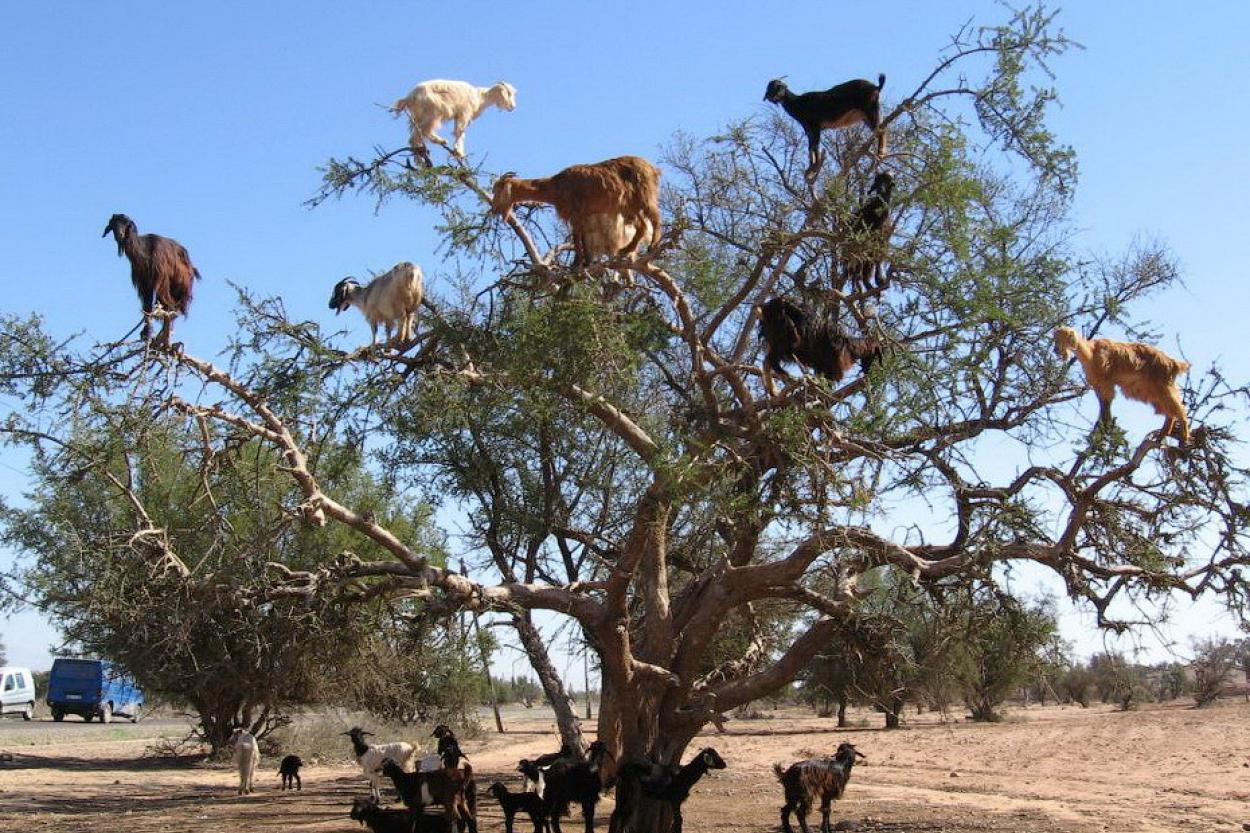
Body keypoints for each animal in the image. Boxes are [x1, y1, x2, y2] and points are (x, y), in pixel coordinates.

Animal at [101, 213, 200, 347]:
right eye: (113, 225)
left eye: (126, 224)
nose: (120, 235)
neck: (144, 251)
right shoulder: (144, 283)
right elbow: (147, 307)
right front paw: (146, 333)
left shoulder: (160, 279)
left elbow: (163, 304)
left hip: (181, 287)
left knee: (173, 308)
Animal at [487, 157, 665, 267]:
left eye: (497, 190)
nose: (493, 209)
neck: (554, 187)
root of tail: (653, 169)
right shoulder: (582, 216)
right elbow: (583, 238)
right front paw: (586, 262)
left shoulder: (575, 214)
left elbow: (577, 238)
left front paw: (576, 263)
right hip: (629, 206)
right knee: (642, 226)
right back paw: (625, 250)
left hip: (645, 196)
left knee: (655, 218)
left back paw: (652, 245)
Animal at [760, 74, 890, 178]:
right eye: (769, 88)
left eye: (779, 87)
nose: (772, 97)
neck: (798, 103)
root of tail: (876, 87)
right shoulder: (808, 129)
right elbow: (810, 147)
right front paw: (810, 169)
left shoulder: (816, 126)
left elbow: (815, 146)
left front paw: (815, 167)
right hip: (866, 116)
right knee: (880, 129)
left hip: (870, 110)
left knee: (881, 130)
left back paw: (880, 153)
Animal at [1055, 325, 1190, 445]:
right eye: (1054, 338)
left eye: (1064, 337)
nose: (1056, 350)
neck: (1091, 352)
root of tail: (1173, 363)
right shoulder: (1099, 386)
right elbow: (1104, 407)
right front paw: (1101, 430)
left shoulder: (1106, 384)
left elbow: (1106, 407)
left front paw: (1105, 430)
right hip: (1155, 392)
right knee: (1170, 412)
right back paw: (1161, 437)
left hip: (1164, 386)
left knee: (1179, 409)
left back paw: (1183, 439)